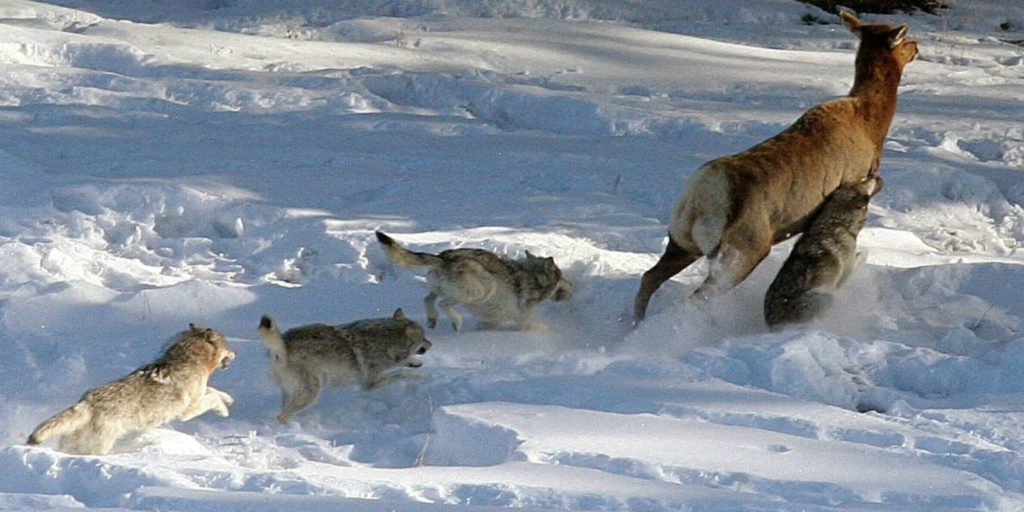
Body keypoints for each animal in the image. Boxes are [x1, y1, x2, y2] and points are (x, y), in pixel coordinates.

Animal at [28, 325, 237, 454]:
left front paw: (228, 399)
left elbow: (213, 390)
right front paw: (224, 411)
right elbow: (212, 398)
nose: (236, 352)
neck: (190, 360)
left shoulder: (200, 394)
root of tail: (86, 402)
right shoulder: (189, 410)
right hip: (100, 445)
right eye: (228, 346)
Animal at [260, 307, 432, 423]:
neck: (386, 341)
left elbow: (403, 362)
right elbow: (401, 373)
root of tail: (284, 344)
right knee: (282, 416)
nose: (431, 344)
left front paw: (415, 363)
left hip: (292, 392)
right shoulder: (370, 384)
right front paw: (420, 375)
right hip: (311, 394)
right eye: (424, 337)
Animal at [374, 232, 573, 331]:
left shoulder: (496, 317)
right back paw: (456, 322)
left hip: (440, 287)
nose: (572, 285)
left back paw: (432, 320)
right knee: (443, 304)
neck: (533, 277)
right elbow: (539, 327)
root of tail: (444, 258)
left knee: (428, 299)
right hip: (483, 289)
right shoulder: (523, 320)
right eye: (562, 276)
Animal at [765, 176, 884, 327]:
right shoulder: (845, 274)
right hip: (825, 296)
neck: (839, 223)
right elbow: (863, 254)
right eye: (864, 182)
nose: (875, 177)